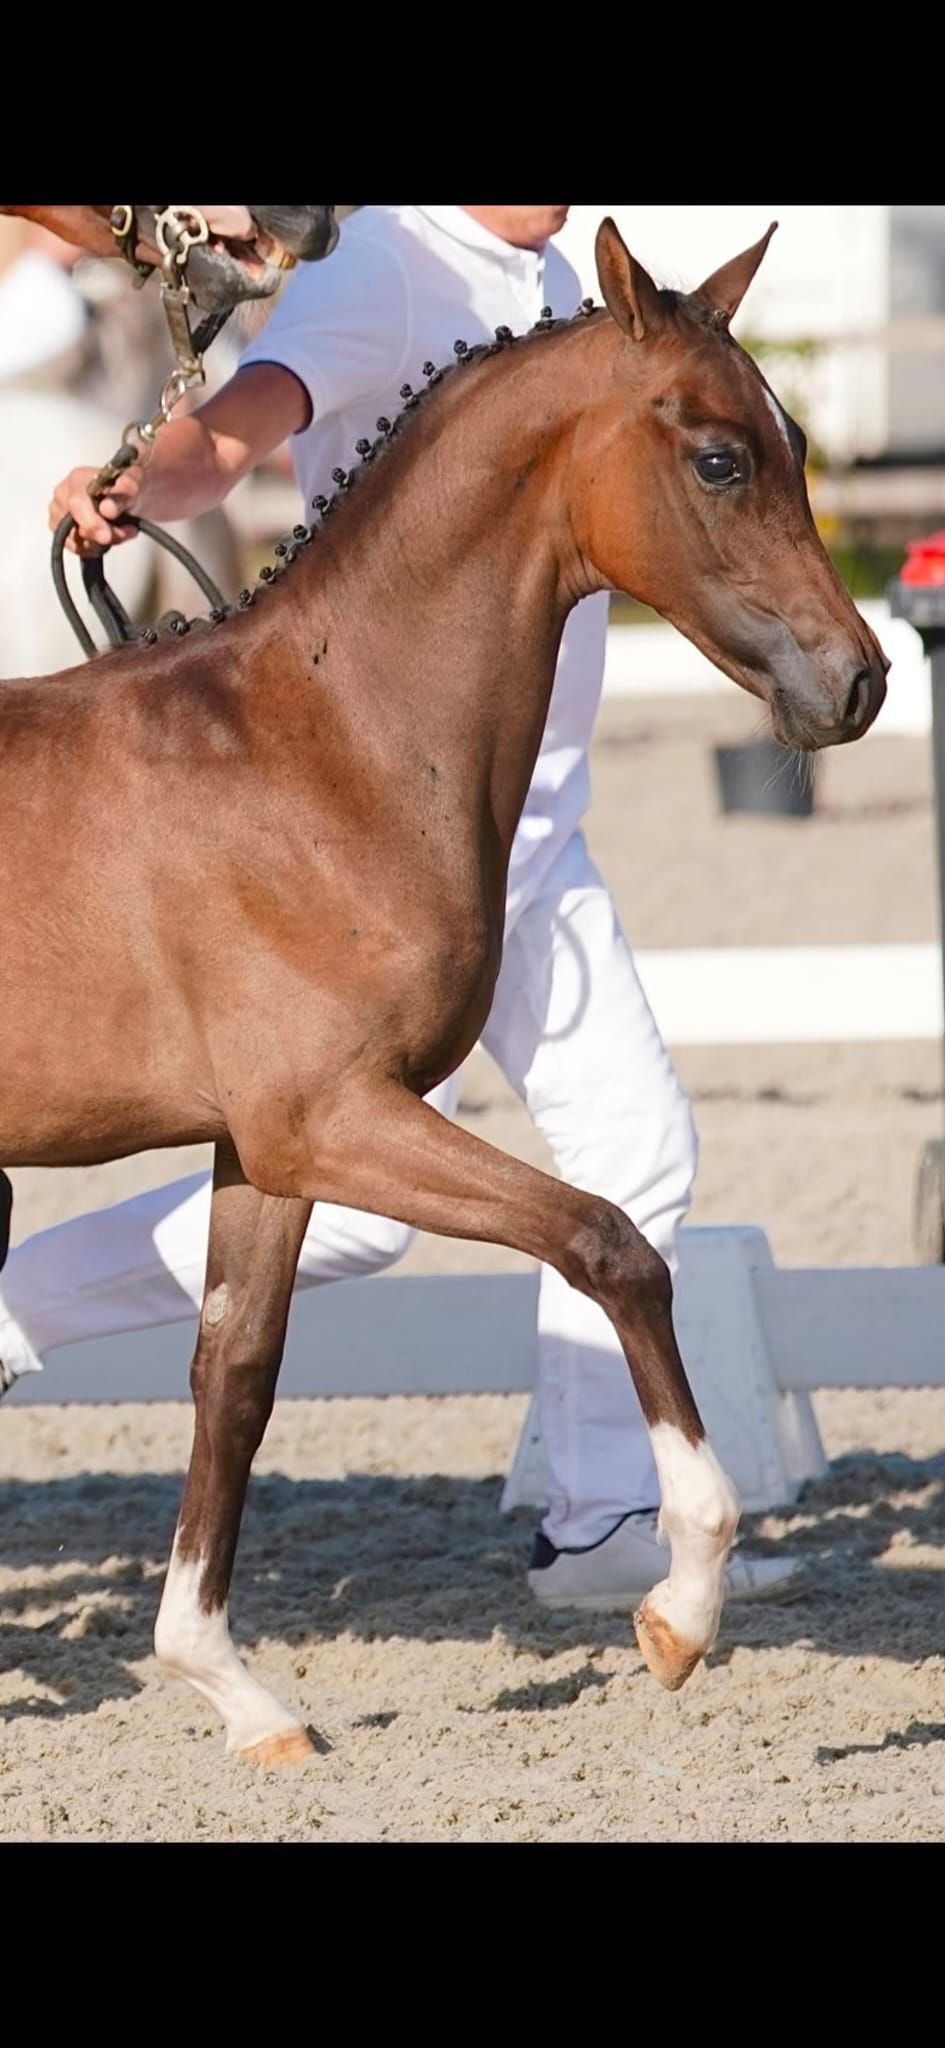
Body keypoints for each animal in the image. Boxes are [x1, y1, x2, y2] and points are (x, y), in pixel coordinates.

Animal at [0, 217, 888, 1766]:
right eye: (721, 458)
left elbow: (235, 1378)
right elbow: (611, 1245)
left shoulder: (264, 1153)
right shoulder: (331, 1119)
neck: (324, 747)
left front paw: (235, 1692)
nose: (859, 683)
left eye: (790, 440)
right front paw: (681, 1605)